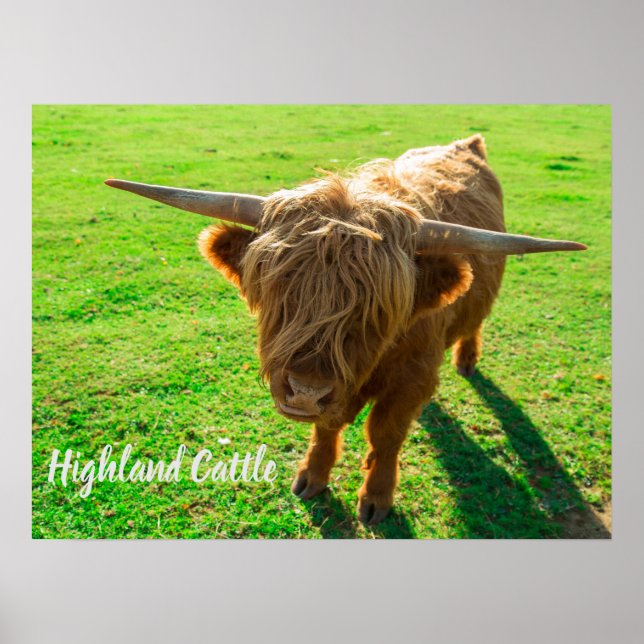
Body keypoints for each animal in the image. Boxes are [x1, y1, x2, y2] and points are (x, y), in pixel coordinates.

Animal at [105, 135, 585, 525]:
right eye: (281, 290)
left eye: (375, 310)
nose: (305, 391)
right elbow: (328, 426)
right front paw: (312, 476)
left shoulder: (412, 377)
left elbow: (386, 434)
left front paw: (376, 498)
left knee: (475, 323)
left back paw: (467, 360)